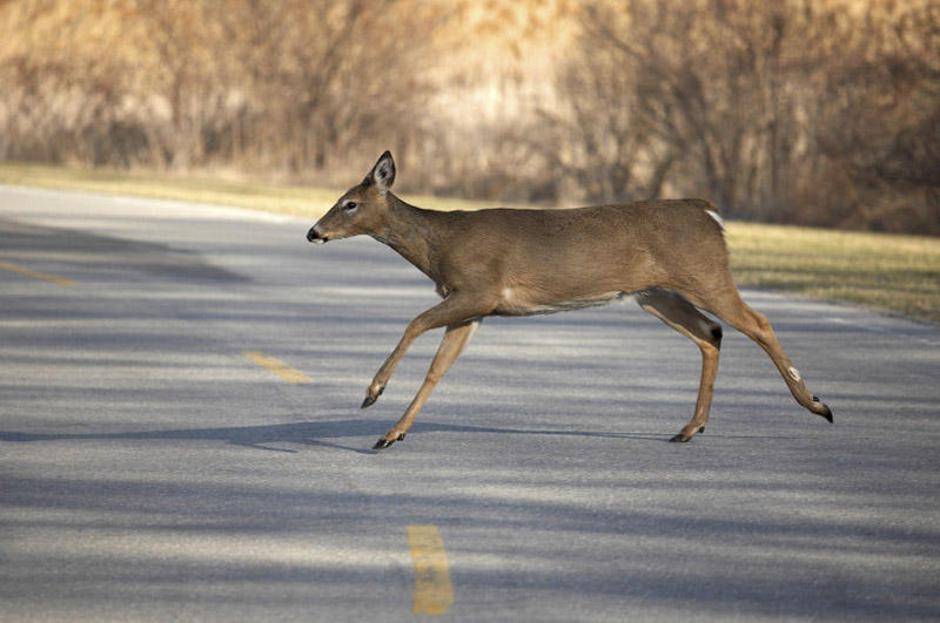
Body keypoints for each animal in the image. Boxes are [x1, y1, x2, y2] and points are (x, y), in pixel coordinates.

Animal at [306, 154, 828, 450]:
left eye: (350, 203)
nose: (314, 231)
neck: (439, 247)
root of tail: (708, 211)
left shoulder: (478, 289)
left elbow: (413, 323)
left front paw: (372, 393)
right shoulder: (474, 309)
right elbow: (439, 369)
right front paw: (391, 433)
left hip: (704, 273)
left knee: (757, 322)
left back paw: (817, 405)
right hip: (654, 293)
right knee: (711, 333)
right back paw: (689, 428)